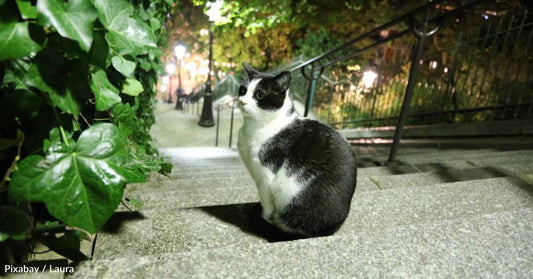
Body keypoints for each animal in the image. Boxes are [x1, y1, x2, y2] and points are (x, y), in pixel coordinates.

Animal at [237, 62, 358, 237]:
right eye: (243, 90)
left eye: (259, 95)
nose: (242, 101)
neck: (255, 127)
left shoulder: (265, 179)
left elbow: (267, 205)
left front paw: (263, 217)